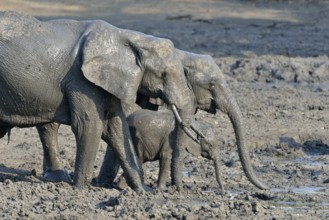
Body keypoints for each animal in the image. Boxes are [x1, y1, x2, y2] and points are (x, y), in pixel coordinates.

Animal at [0, 11, 195, 192]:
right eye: (163, 74)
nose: (177, 189)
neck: (128, 37)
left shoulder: (108, 82)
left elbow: (116, 127)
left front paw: (142, 191)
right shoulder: (80, 80)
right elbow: (89, 125)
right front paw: (80, 190)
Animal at [93, 109, 224, 193]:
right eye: (210, 145)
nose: (222, 191)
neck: (195, 123)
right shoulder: (170, 140)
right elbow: (166, 158)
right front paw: (161, 190)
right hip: (134, 139)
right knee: (138, 160)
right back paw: (125, 187)